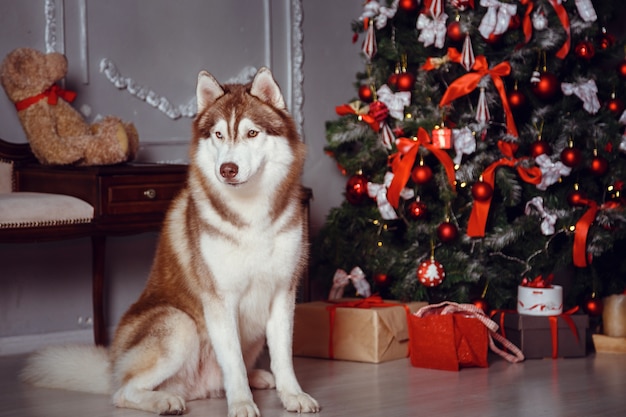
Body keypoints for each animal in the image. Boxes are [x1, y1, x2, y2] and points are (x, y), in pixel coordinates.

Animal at [22, 67, 320, 416]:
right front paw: (242, 403)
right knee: (123, 391)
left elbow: (283, 355)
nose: (227, 169)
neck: (251, 215)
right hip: (179, 325)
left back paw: (257, 376)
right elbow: (233, 362)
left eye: (251, 133)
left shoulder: (283, 292)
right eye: (218, 135)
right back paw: (164, 400)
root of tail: (112, 365)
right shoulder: (219, 300)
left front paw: (293, 394)